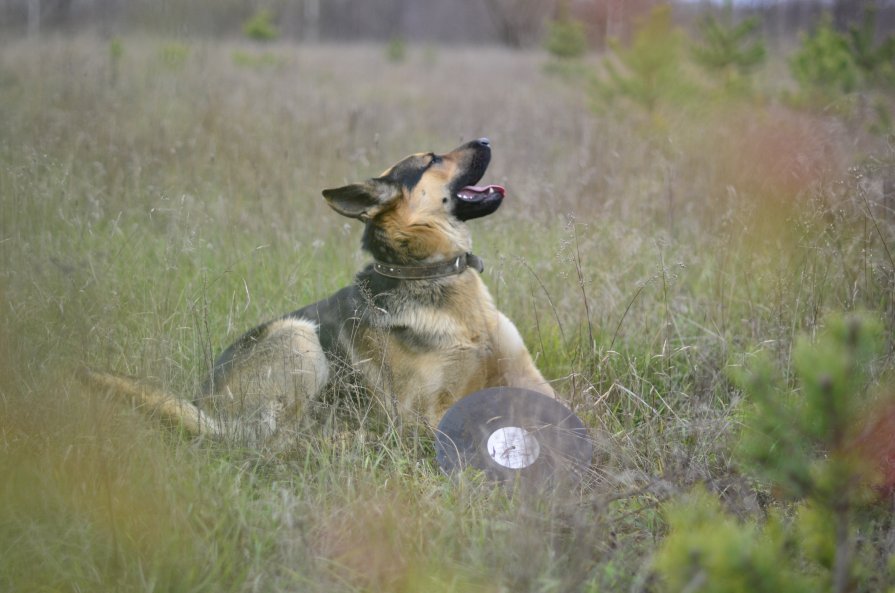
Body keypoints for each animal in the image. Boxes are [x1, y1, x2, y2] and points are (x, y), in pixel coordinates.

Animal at [87, 138, 556, 448]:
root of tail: (203, 402)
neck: (432, 274)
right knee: (275, 441)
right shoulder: (423, 415)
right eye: (432, 158)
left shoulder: (530, 381)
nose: (487, 139)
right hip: (298, 335)